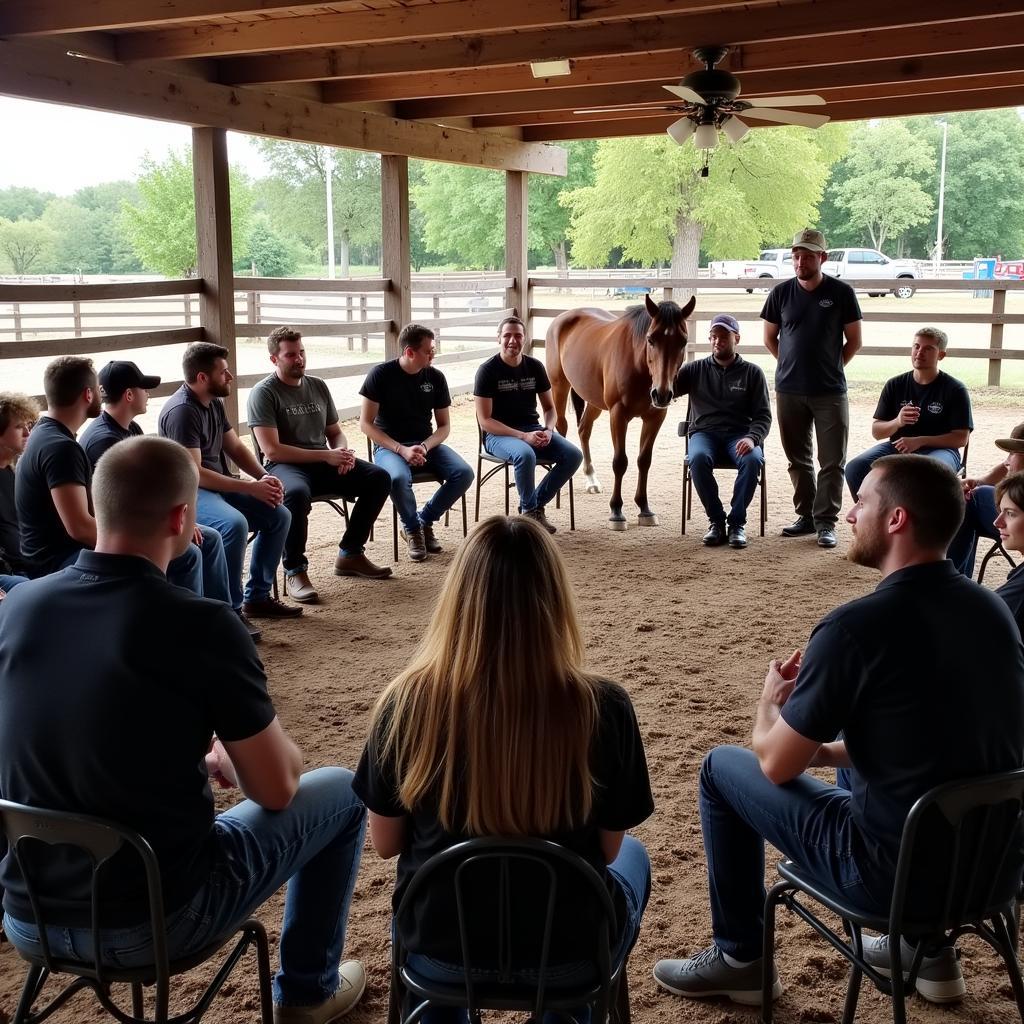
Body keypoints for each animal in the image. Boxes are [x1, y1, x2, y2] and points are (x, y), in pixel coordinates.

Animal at [544, 288, 696, 528]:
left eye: (683, 341)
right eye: (651, 339)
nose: (662, 394)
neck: (637, 363)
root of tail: (562, 318)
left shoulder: (655, 417)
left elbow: (644, 460)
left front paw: (644, 508)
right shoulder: (618, 414)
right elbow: (620, 462)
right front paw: (616, 510)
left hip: (594, 400)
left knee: (584, 430)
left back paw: (591, 478)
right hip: (559, 386)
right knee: (563, 427)